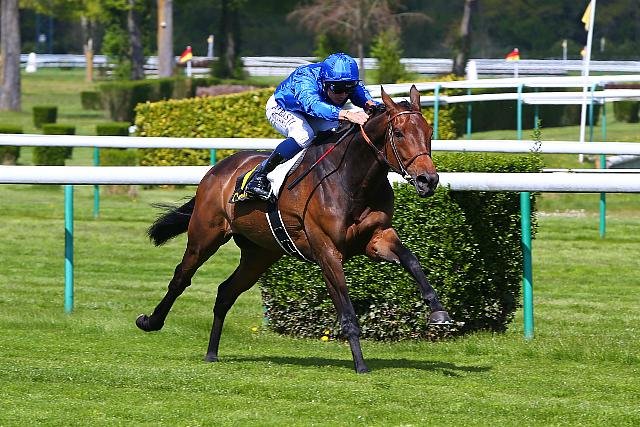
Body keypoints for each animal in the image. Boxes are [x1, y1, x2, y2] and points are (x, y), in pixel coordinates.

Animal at [135, 85, 451, 373]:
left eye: (429, 132)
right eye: (398, 134)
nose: (427, 180)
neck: (352, 180)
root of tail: (217, 169)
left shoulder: (376, 238)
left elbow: (411, 260)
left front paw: (438, 310)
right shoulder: (327, 251)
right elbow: (346, 310)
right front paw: (361, 365)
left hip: (259, 253)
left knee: (226, 292)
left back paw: (212, 353)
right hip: (205, 235)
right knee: (181, 278)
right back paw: (151, 321)